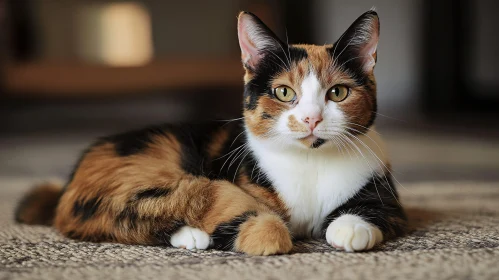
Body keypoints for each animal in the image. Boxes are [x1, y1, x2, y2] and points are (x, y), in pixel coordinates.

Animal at [15, 10, 406, 256]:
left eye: (337, 92)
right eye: (283, 92)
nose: (311, 119)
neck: (310, 161)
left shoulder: (385, 192)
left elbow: (380, 211)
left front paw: (348, 227)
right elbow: (230, 203)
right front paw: (265, 235)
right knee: (119, 214)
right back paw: (192, 235)